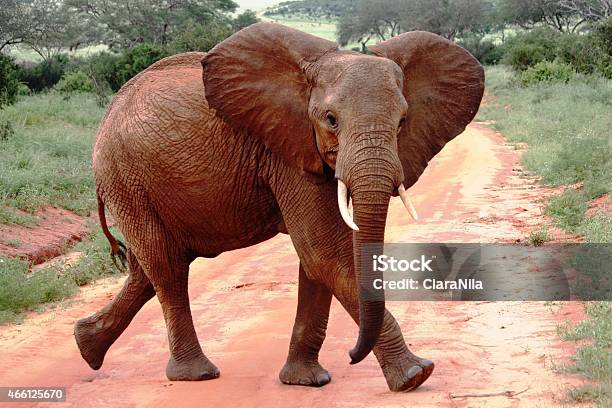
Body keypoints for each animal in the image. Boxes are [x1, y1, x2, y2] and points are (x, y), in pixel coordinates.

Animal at [74, 22, 482, 392]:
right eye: (331, 120)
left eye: (402, 122)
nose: (352, 355)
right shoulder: (286, 149)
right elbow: (323, 252)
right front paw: (415, 376)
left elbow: (316, 262)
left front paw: (306, 381)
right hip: (125, 176)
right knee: (167, 266)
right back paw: (196, 374)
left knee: (148, 269)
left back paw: (86, 346)